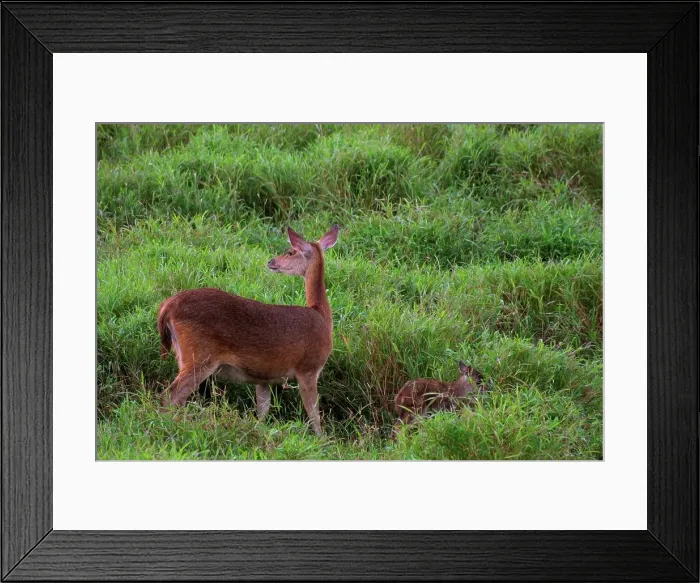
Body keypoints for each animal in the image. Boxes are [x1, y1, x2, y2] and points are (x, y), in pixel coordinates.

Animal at [157, 224, 339, 436]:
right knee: (171, 395)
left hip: (183, 355)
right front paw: (322, 438)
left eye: (290, 252)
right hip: (200, 356)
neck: (322, 316)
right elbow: (314, 415)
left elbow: (262, 411)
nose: (271, 261)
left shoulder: (264, 377)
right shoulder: (308, 368)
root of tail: (167, 306)